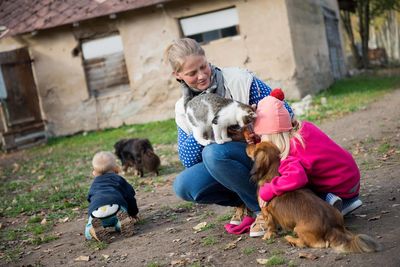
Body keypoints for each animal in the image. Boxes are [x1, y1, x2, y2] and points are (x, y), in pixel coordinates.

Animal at [247, 142, 382, 253]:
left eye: (255, 146)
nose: (247, 145)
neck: (273, 172)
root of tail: (331, 226)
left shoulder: (266, 211)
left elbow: (270, 225)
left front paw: (268, 235)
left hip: (299, 229)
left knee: (311, 244)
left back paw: (290, 239)